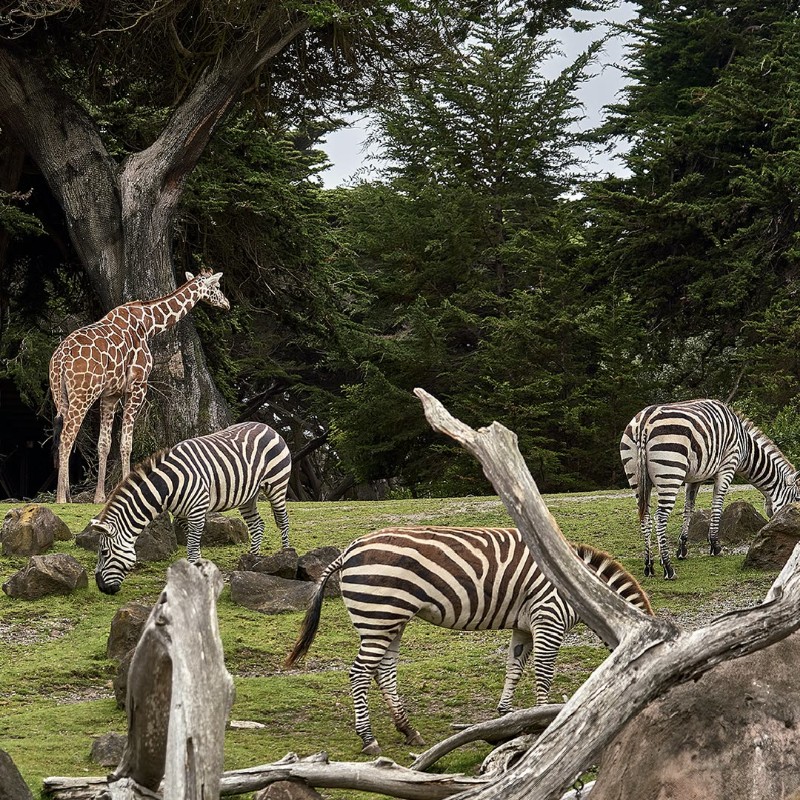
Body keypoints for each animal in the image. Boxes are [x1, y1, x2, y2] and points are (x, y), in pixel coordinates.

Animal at [49, 272, 230, 504]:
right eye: (216, 286)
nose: (226, 303)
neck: (149, 323)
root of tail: (61, 359)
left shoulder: (111, 394)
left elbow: (104, 444)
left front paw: (100, 497)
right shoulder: (137, 386)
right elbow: (126, 443)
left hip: (60, 395)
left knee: (62, 436)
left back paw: (68, 495)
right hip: (83, 394)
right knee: (67, 437)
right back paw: (61, 498)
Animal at [94, 418, 292, 592]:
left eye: (104, 552)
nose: (102, 589)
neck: (168, 486)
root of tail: (267, 426)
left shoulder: (197, 510)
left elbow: (191, 547)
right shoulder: (181, 515)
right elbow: (193, 545)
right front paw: (197, 568)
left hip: (277, 483)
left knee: (283, 520)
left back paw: (285, 556)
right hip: (247, 495)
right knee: (257, 524)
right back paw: (251, 558)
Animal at [284, 528, 652, 752]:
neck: (582, 589)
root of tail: (349, 550)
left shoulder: (524, 625)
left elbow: (514, 667)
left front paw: (506, 715)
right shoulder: (548, 618)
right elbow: (543, 674)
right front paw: (543, 719)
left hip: (389, 620)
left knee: (383, 672)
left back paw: (408, 730)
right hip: (380, 614)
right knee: (360, 673)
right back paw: (369, 738)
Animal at [620, 400, 800, 580]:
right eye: (797, 500)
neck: (745, 447)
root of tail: (643, 423)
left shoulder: (695, 477)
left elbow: (689, 509)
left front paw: (682, 548)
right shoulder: (727, 467)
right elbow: (717, 506)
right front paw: (715, 545)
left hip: (636, 476)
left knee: (645, 517)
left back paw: (648, 566)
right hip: (670, 471)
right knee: (660, 517)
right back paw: (668, 568)